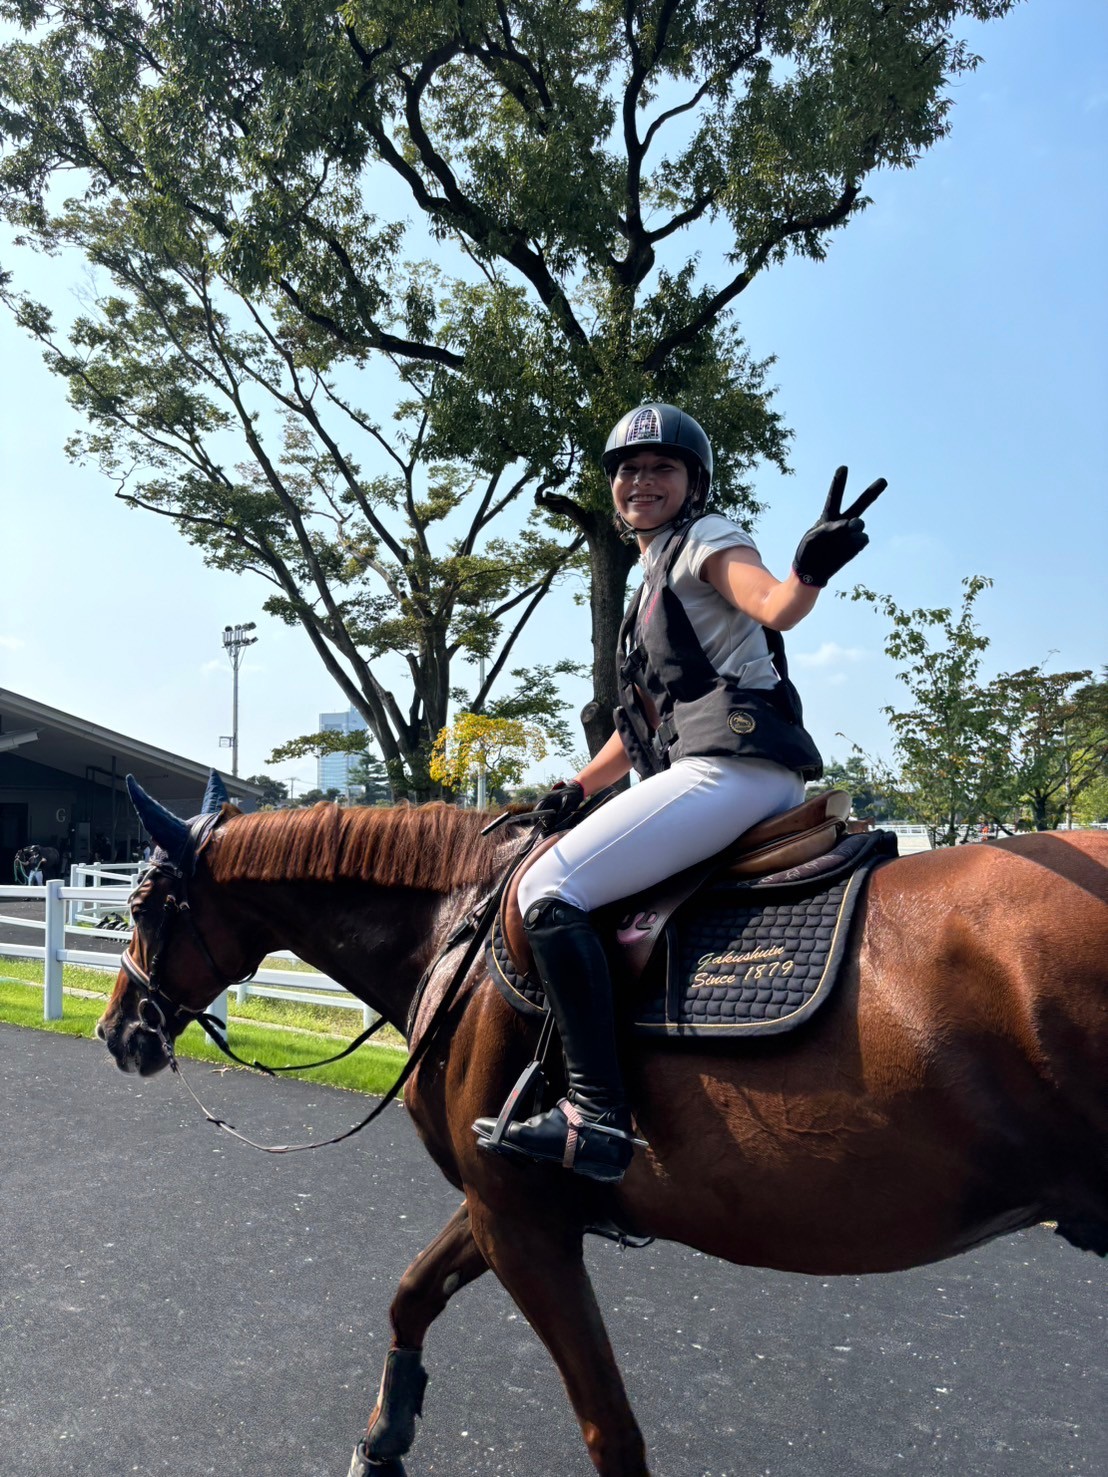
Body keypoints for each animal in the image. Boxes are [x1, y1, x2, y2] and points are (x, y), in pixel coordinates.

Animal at [96, 779, 1108, 1477]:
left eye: (142, 908)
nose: (116, 1030)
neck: (461, 934)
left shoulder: (520, 1221)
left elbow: (609, 1428)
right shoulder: (510, 1197)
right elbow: (412, 1294)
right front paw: (383, 1438)